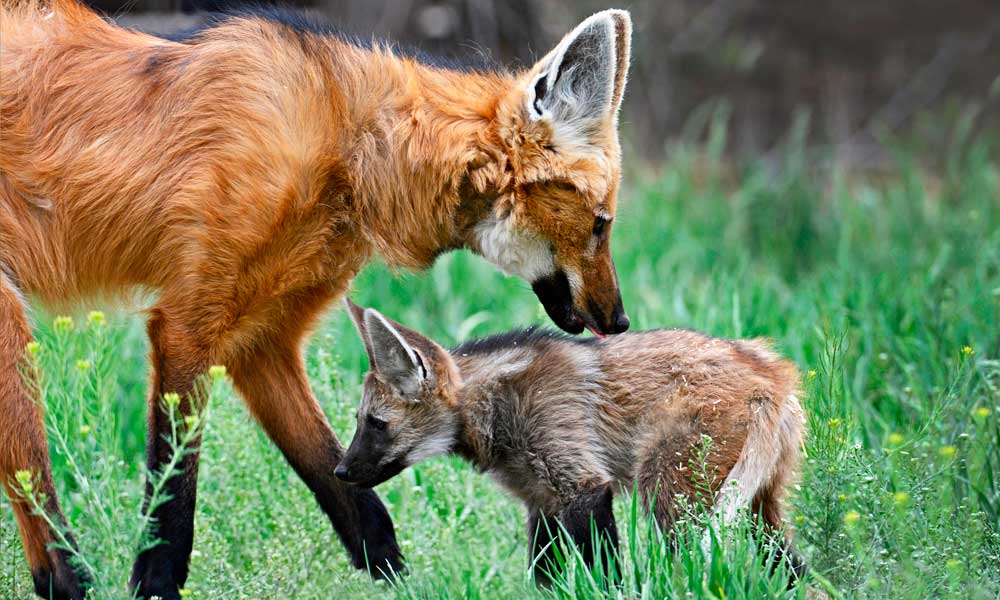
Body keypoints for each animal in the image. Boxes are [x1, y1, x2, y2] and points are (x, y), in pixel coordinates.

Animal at [1, 2, 632, 596]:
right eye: (601, 224)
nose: (621, 321)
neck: (348, 144)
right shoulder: (184, 327)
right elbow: (172, 509)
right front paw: (153, 589)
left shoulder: (262, 344)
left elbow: (358, 506)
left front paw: (407, 586)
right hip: (13, 329)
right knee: (45, 526)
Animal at [340, 302, 808, 584]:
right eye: (360, 421)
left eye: (376, 424)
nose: (340, 471)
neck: (497, 404)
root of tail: (772, 378)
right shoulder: (542, 501)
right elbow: (544, 577)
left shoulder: (582, 485)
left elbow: (603, 575)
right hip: (752, 507)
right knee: (791, 565)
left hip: (672, 498)